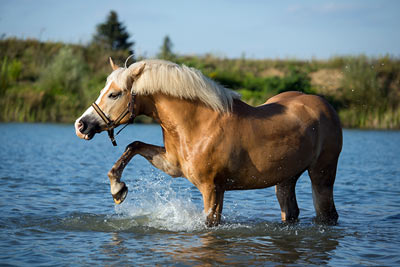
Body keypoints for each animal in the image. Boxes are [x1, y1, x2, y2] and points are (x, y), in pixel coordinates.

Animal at [76, 58, 344, 226]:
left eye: (114, 94)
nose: (81, 125)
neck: (199, 125)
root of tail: (325, 105)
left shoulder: (212, 189)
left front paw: (117, 188)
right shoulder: (173, 166)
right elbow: (133, 146)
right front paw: (118, 189)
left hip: (322, 174)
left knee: (327, 214)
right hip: (286, 178)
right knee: (291, 213)